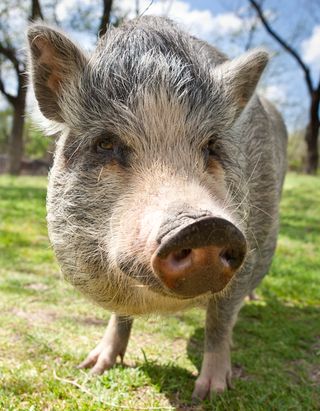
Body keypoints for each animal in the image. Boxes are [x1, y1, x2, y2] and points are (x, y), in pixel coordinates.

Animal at [26, 16, 288, 400]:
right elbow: (120, 315)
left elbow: (219, 320)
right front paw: (92, 367)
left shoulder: (250, 244)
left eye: (212, 145)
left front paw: (211, 394)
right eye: (106, 144)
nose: (205, 225)